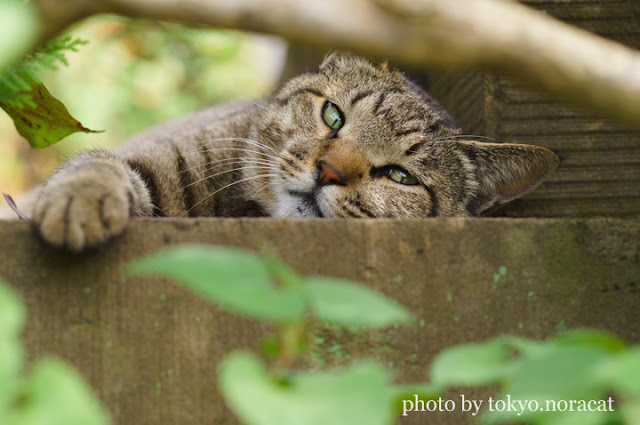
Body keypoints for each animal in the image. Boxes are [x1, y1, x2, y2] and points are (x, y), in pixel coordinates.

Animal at [8, 53, 560, 252]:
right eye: (333, 116)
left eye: (400, 177)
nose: (328, 170)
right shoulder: (152, 157)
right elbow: (97, 162)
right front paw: (80, 200)